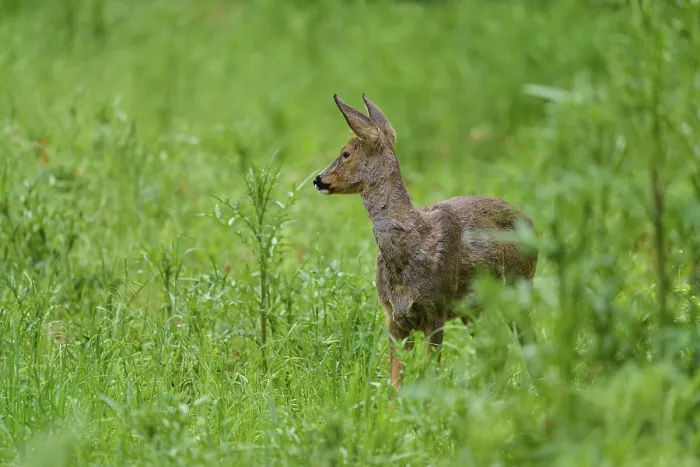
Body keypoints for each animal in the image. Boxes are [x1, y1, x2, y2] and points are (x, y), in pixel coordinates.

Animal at [313, 94, 538, 389]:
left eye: (345, 153)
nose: (318, 179)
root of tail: (533, 224)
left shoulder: (437, 307)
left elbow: (432, 372)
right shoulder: (394, 316)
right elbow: (395, 380)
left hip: (518, 286)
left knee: (527, 341)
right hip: (474, 309)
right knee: (495, 350)